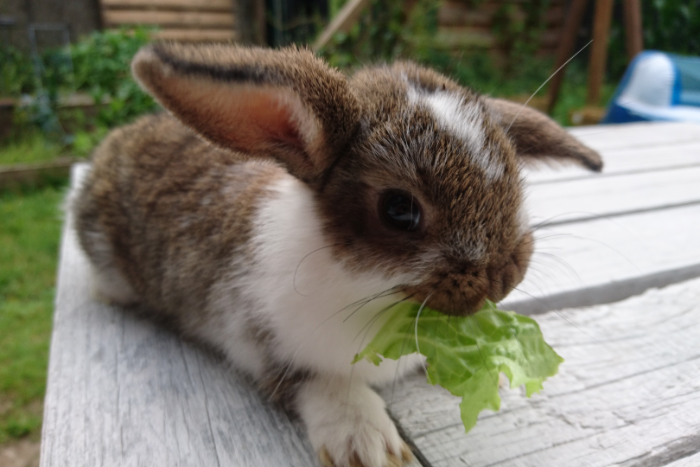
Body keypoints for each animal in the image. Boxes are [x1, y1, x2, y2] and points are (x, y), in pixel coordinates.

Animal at [74, 44, 604, 467]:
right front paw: (369, 443)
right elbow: (320, 385)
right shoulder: (262, 342)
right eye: (398, 209)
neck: (371, 289)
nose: (504, 277)